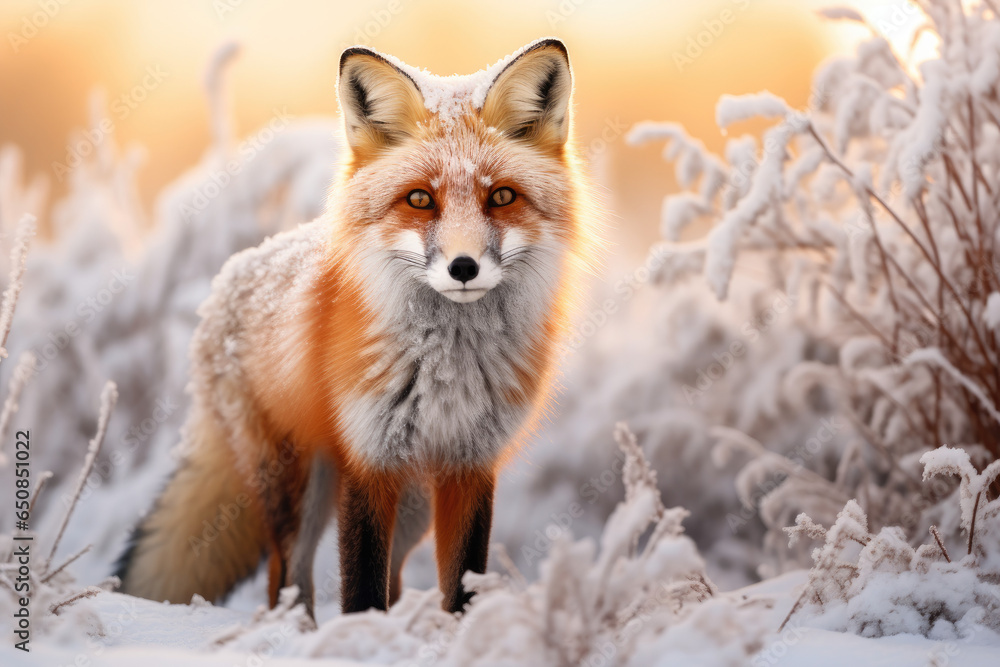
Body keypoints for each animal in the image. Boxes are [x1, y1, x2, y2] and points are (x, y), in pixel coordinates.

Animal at [114, 37, 595, 619]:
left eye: (501, 196)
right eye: (419, 199)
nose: (463, 267)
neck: (448, 366)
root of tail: (227, 283)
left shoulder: (470, 463)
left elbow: (461, 584)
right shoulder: (368, 460)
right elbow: (361, 589)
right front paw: (360, 636)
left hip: (413, 505)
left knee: (391, 577)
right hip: (299, 488)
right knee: (287, 579)